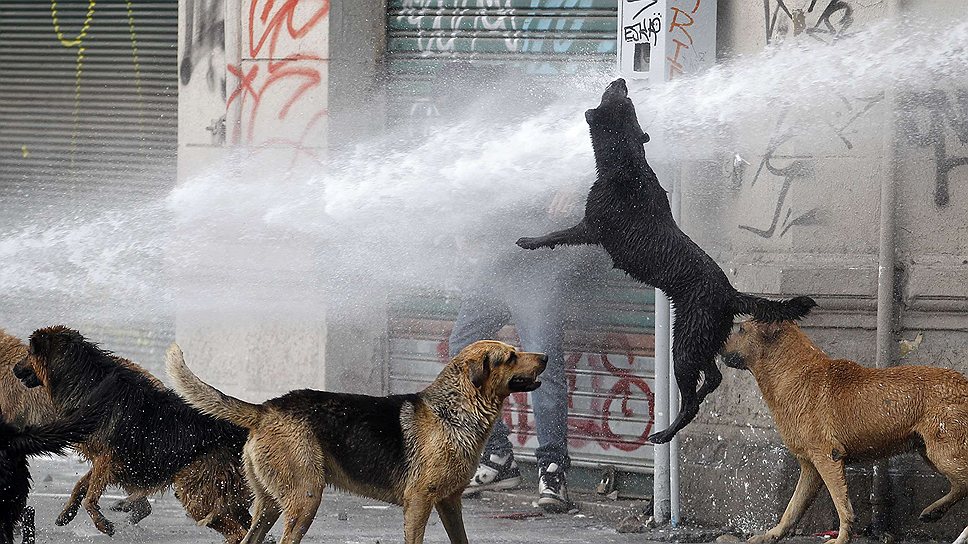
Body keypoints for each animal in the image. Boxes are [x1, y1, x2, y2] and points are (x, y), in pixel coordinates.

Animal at [166, 340, 544, 544]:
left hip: (270, 504)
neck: (454, 409)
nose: (546, 358)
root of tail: (267, 408)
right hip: (305, 499)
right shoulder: (419, 502)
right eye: (510, 357)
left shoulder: (450, 503)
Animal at [520, 78, 812, 444]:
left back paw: (666, 431)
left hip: (685, 344)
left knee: (692, 398)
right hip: (704, 338)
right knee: (713, 377)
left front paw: (529, 241)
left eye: (620, 100)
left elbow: (555, 234)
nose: (621, 80)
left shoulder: (590, 226)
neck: (627, 160)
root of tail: (729, 293)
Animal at [724, 320, 968, 544]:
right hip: (929, 451)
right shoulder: (810, 466)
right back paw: (934, 511)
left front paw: (842, 538)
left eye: (741, 329)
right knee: (960, 486)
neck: (792, 372)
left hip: (945, 453)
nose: (717, 347)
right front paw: (770, 535)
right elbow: (792, 509)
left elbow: (841, 504)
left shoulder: (827, 458)